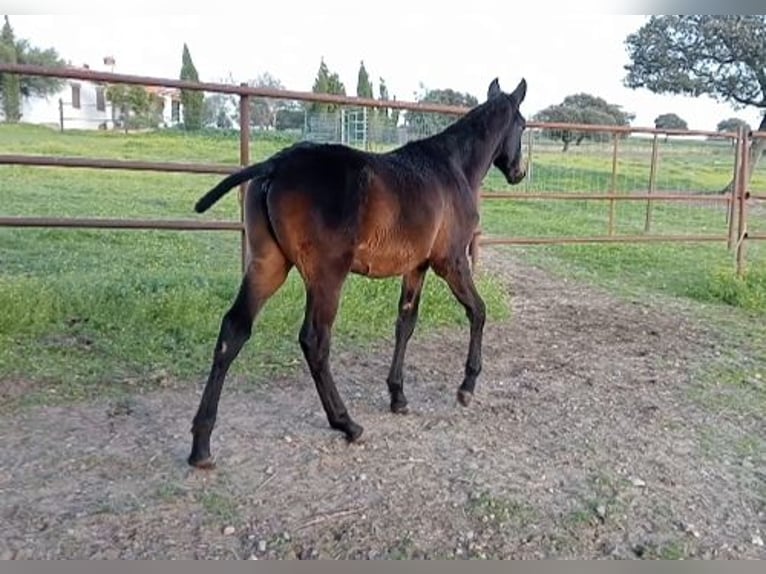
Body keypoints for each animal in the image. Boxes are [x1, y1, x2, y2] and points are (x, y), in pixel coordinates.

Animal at [189, 75, 532, 468]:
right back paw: (346, 423)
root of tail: (275, 165)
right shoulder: (451, 262)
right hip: (326, 277)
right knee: (314, 341)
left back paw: (201, 445)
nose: (518, 172)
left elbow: (405, 324)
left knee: (234, 330)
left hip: (268, 266)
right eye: (523, 125)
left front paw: (398, 396)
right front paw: (466, 388)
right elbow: (478, 310)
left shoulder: (416, 267)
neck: (453, 168)